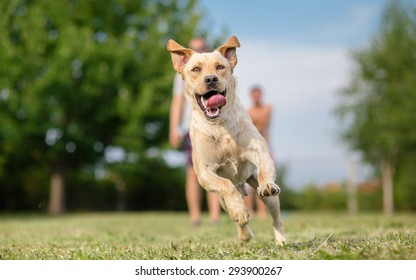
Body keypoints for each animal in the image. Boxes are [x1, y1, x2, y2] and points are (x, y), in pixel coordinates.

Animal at [166, 35, 286, 245]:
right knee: (234, 211)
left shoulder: (259, 150)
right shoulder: (204, 172)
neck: (219, 125)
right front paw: (239, 210)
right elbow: (225, 185)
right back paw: (244, 233)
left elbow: (264, 167)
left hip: (268, 198)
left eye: (220, 67)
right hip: (221, 200)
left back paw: (281, 240)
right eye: (196, 69)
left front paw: (267, 184)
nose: (211, 78)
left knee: (276, 218)